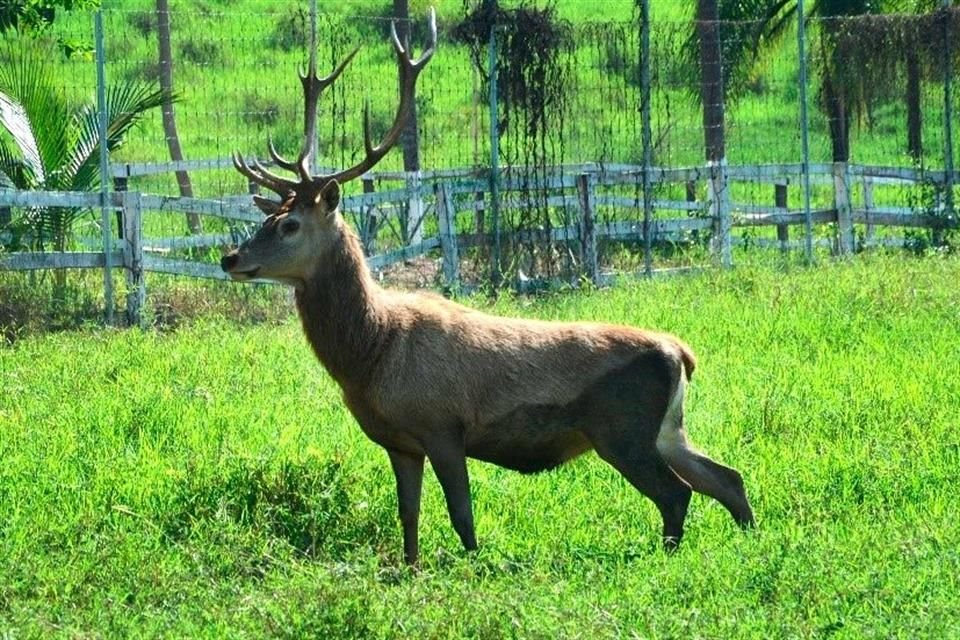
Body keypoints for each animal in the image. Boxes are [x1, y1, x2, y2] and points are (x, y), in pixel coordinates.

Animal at [221, 8, 752, 564]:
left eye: (289, 225)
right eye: (266, 218)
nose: (230, 257)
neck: (370, 353)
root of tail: (681, 353)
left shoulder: (442, 425)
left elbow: (462, 517)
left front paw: (473, 569)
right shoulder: (399, 442)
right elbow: (408, 517)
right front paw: (410, 570)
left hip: (621, 429)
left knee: (677, 493)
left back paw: (668, 558)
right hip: (667, 428)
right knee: (727, 478)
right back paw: (748, 539)